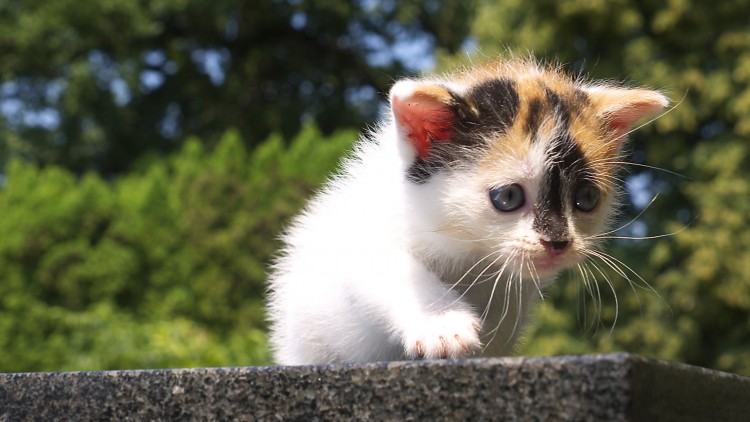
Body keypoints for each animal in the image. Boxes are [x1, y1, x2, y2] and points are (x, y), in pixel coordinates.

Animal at [266, 59, 668, 366]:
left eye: (585, 198)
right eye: (508, 196)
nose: (558, 242)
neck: (469, 252)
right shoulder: (356, 230)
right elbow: (386, 265)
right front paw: (442, 324)